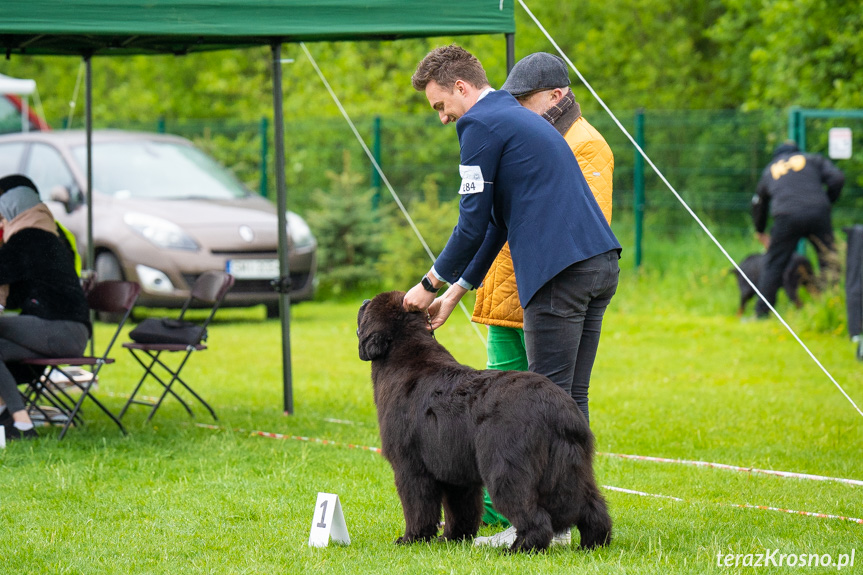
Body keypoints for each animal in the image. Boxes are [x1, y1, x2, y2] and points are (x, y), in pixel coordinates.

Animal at [358, 292, 616, 552]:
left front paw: (411, 538)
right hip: (568, 468)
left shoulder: (410, 466)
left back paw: (518, 548)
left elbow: (417, 506)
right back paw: (593, 544)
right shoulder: (455, 471)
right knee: (592, 506)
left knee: (535, 515)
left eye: (367, 310)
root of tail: (556, 407)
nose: (364, 301)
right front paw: (454, 537)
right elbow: (461, 509)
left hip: (506, 469)